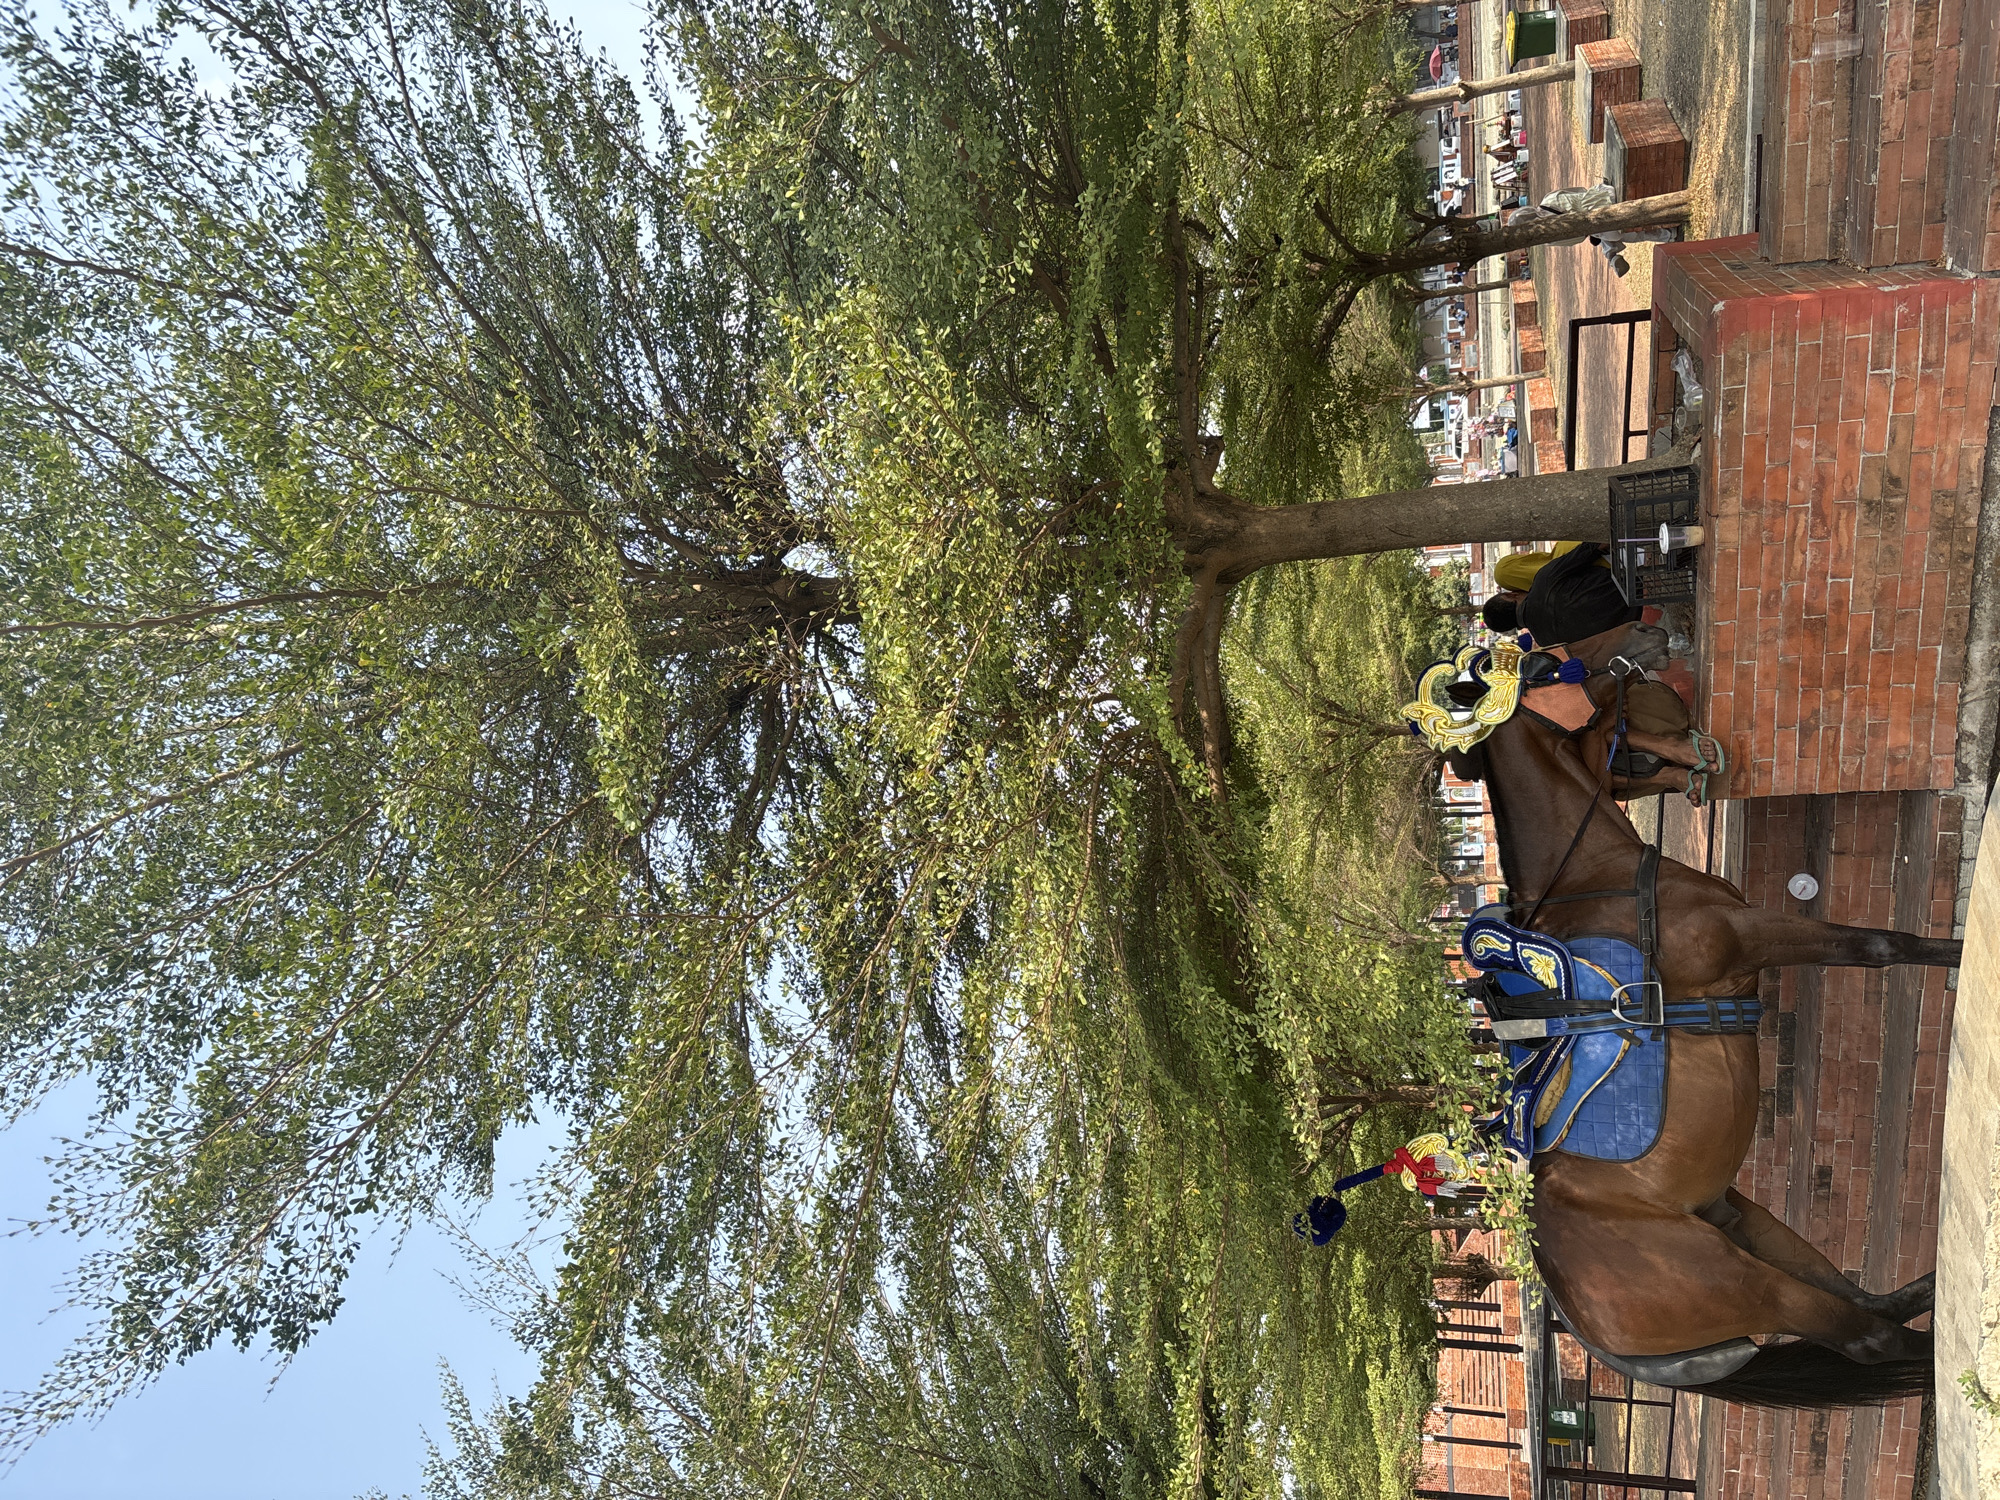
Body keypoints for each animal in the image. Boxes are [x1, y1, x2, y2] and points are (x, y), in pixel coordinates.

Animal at [1439, 620, 1955, 1408]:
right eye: (1545, 663)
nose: (1649, 637)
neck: (1595, 873)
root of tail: (1582, 1321)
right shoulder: (1752, 937)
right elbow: (1881, 946)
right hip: (1746, 1283)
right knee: (1870, 1337)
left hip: (1742, 1220)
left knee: (1871, 1303)